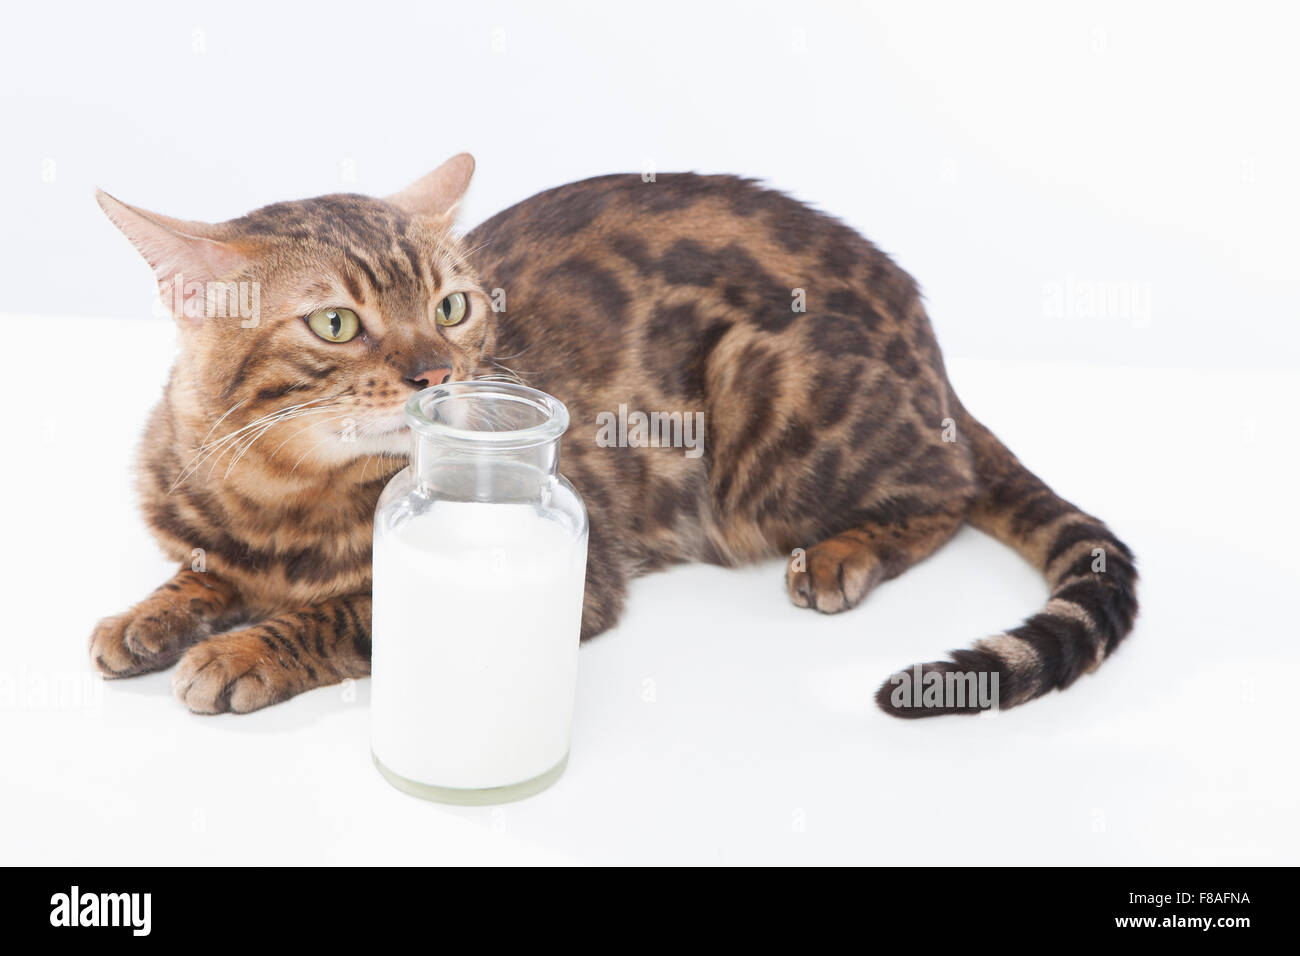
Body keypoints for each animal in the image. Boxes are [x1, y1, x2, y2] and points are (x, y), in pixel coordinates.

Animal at [89, 151, 1138, 717]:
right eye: (337, 324)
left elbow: (349, 610)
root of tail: (932, 355)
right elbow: (200, 570)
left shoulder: (587, 572)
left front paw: (242, 652)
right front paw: (149, 615)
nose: (438, 373)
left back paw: (845, 553)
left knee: (949, 486)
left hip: (766, 412)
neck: (277, 501)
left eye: (453, 305)